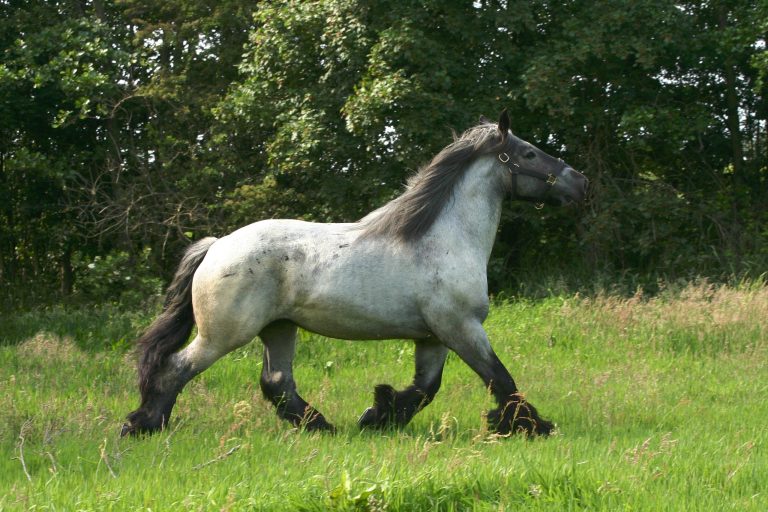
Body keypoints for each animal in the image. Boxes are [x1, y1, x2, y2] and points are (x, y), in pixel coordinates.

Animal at [120, 110, 588, 438]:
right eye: (528, 153)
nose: (579, 182)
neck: (443, 238)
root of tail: (215, 246)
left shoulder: (434, 336)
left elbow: (426, 387)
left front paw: (377, 415)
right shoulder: (461, 328)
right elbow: (500, 378)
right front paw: (533, 427)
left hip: (279, 328)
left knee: (276, 382)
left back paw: (322, 426)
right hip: (223, 335)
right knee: (176, 368)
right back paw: (143, 424)